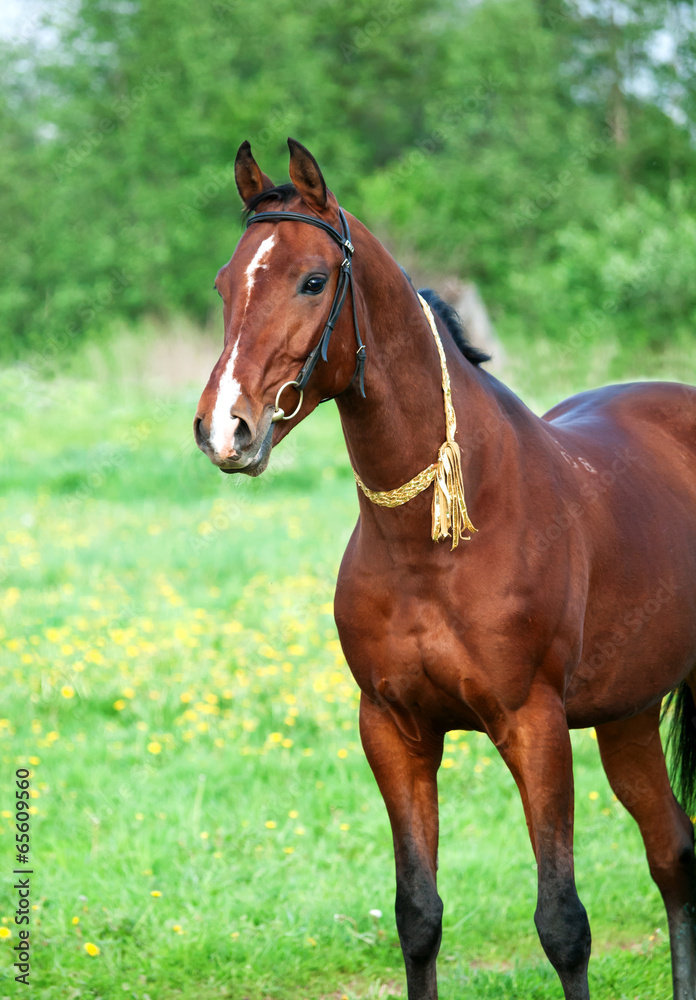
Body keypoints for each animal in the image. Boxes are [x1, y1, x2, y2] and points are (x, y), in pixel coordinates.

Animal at [194, 137, 696, 1000]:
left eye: (312, 280)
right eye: (227, 282)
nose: (225, 429)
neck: (433, 545)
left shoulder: (534, 726)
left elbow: (563, 924)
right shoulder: (394, 732)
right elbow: (418, 916)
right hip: (628, 713)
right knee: (673, 853)